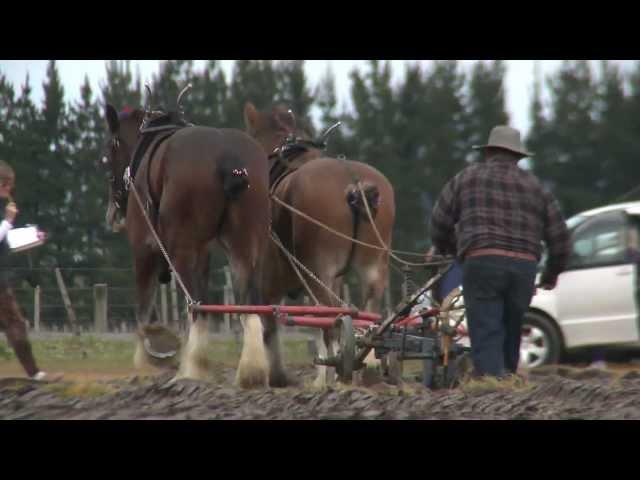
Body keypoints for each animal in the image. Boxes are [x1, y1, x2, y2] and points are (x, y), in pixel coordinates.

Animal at [101, 104, 278, 386]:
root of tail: (228, 156)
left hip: (181, 249)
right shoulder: (203, 252)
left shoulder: (144, 249)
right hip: (247, 247)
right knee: (248, 305)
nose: (113, 213)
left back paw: (193, 367)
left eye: (109, 152)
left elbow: (143, 306)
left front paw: (145, 359)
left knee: (196, 306)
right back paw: (251, 370)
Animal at [244, 102, 396, 386]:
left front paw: (280, 377)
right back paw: (368, 367)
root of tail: (355, 186)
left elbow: (272, 323)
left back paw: (338, 373)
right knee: (367, 313)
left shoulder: (270, 281)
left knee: (331, 319)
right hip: (372, 266)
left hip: (319, 270)